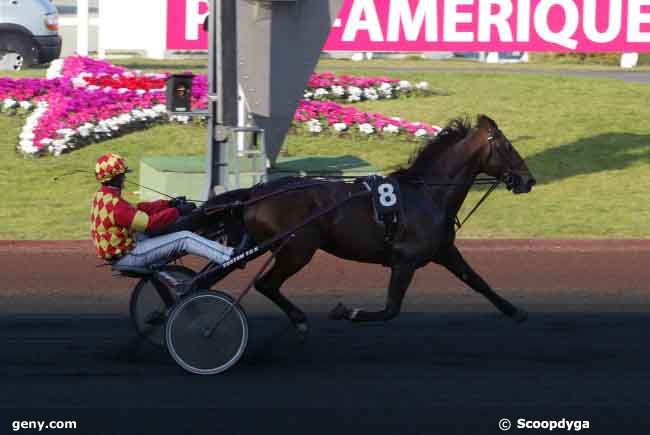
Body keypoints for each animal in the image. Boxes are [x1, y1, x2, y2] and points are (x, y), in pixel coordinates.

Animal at [201, 114, 532, 336]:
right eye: (507, 147)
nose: (528, 180)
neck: (427, 194)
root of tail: (256, 192)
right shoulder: (405, 261)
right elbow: (390, 309)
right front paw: (348, 312)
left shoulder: (444, 251)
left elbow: (477, 281)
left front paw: (515, 311)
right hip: (297, 249)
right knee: (265, 284)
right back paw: (298, 320)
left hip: (258, 245)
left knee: (215, 275)